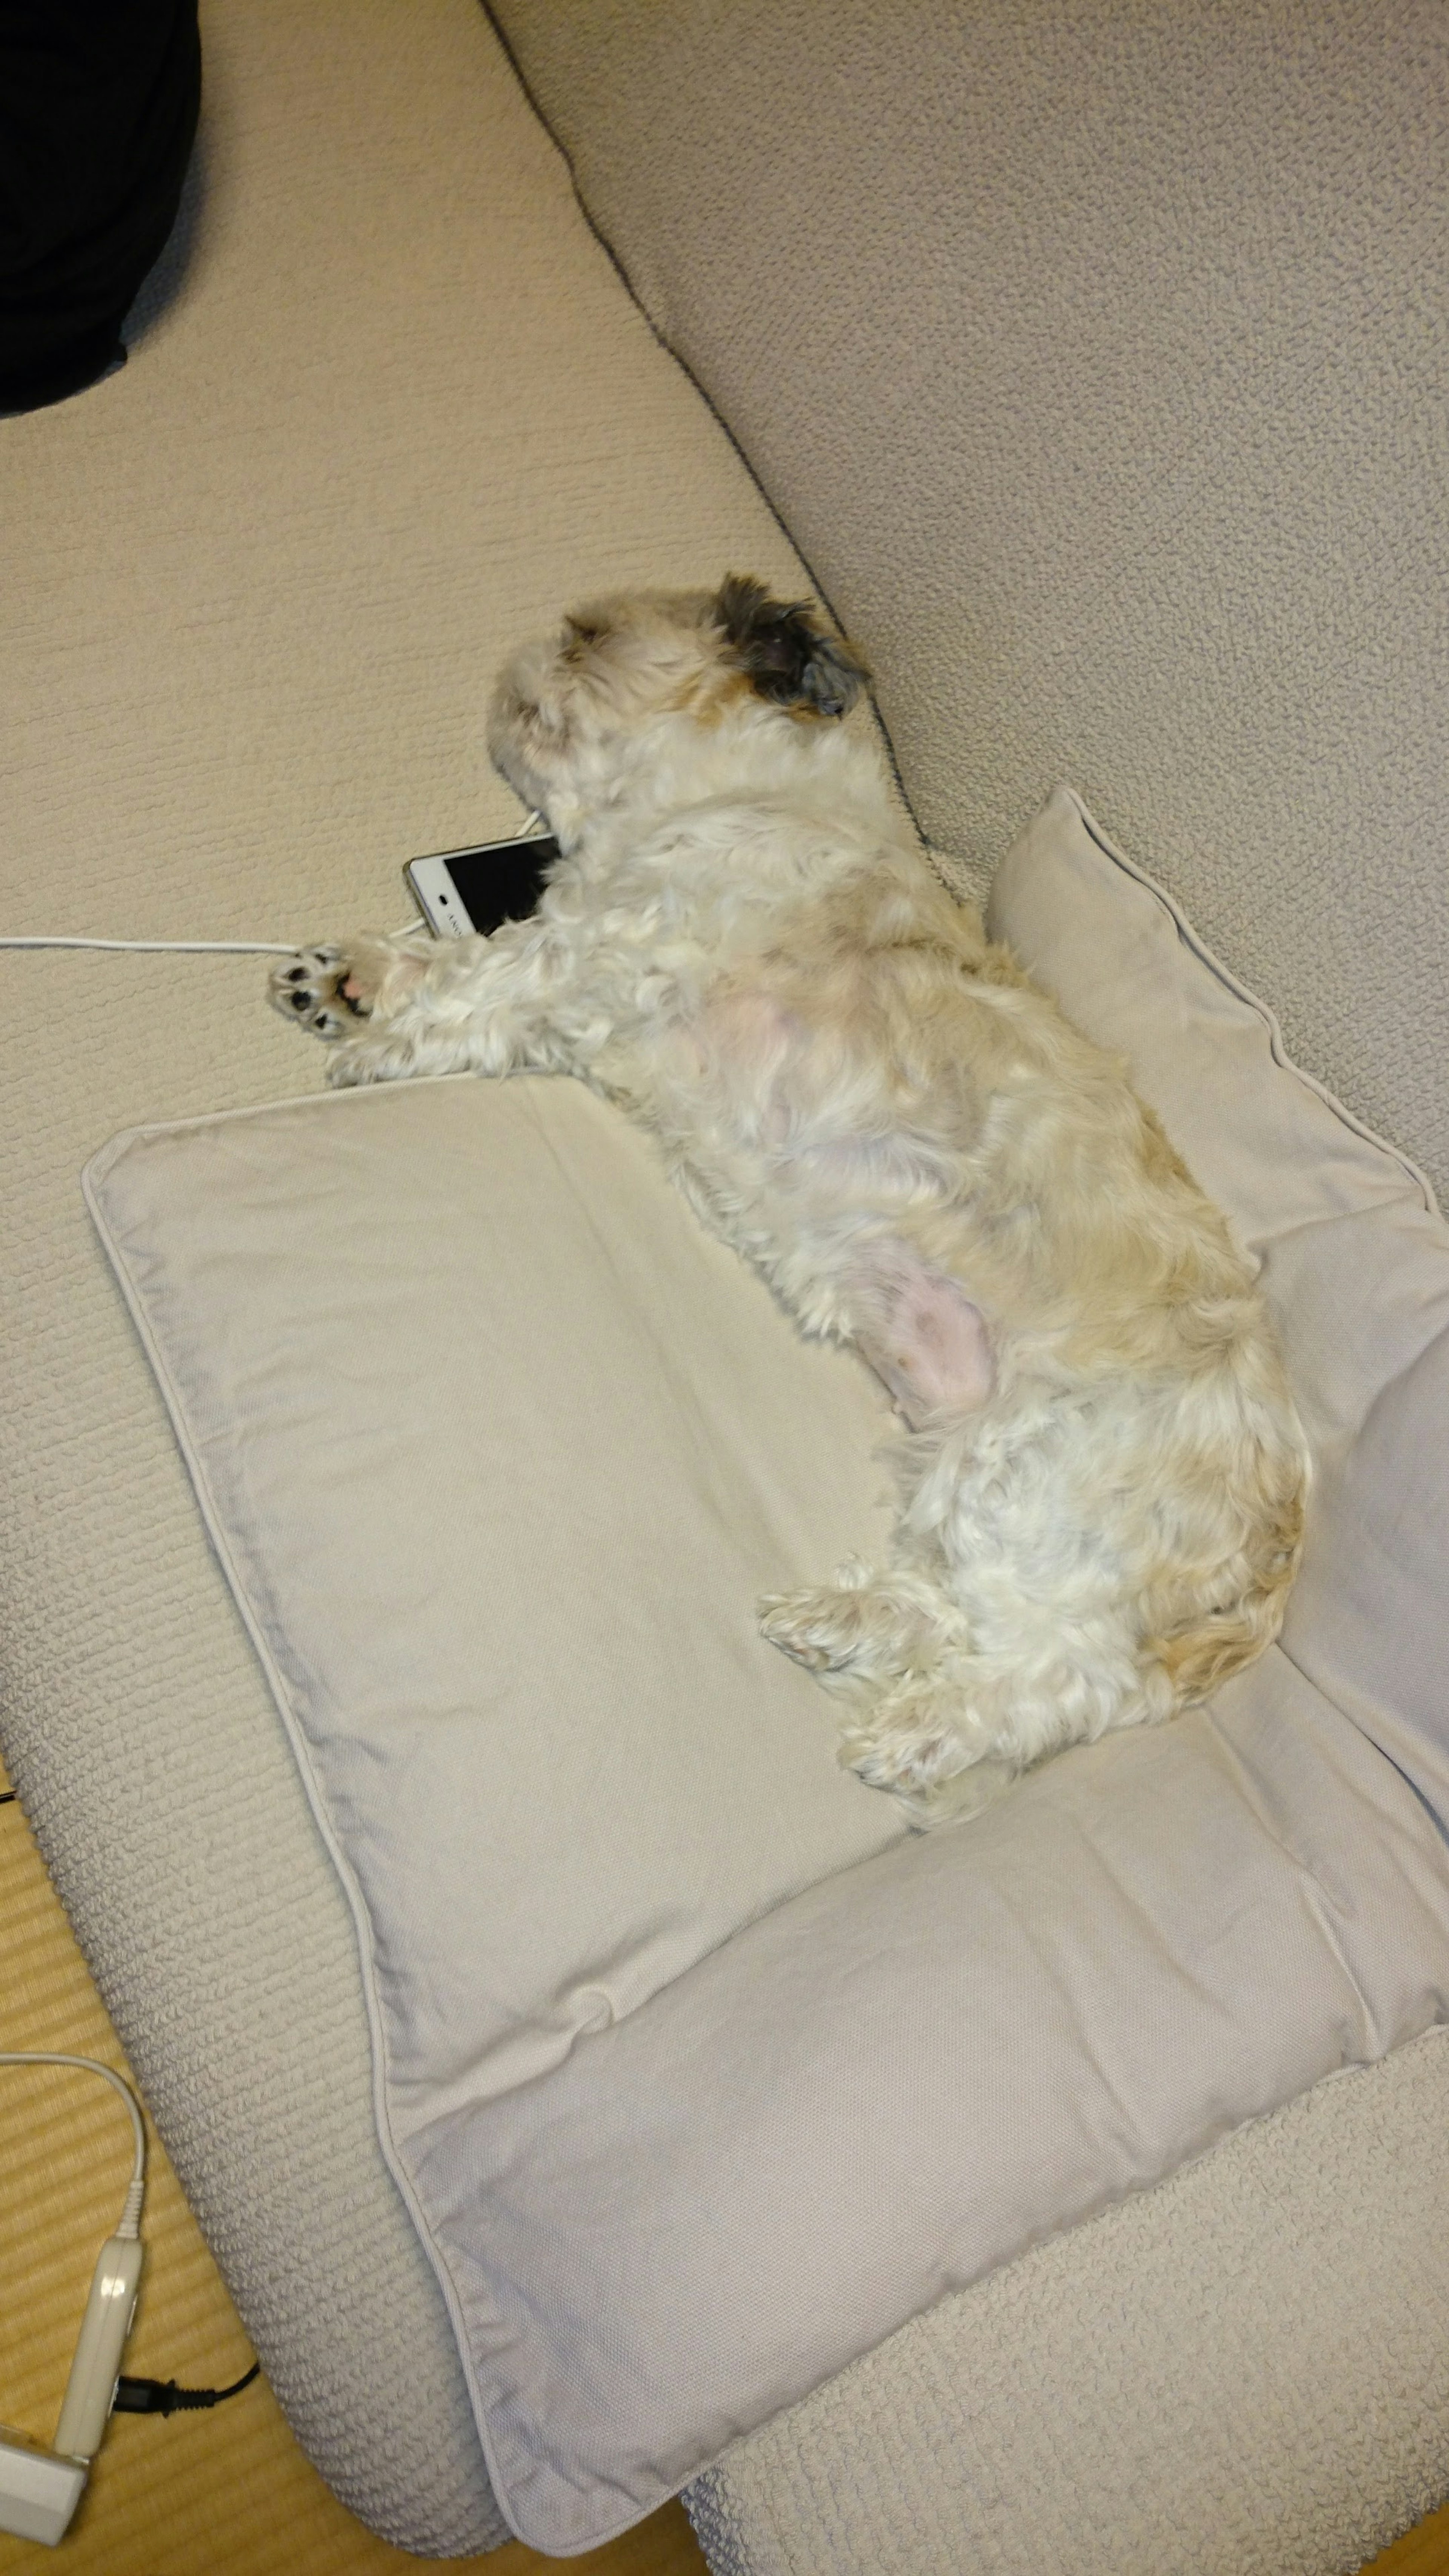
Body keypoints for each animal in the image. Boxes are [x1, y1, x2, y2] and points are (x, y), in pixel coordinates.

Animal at [273, 584, 1310, 1834]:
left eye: (587, 634)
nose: (524, 651)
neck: (731, 793)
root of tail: (1273, 1533)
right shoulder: (593, 989)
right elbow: (478, 987)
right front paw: (352, 983)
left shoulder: (612, 949)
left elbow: (491, 970)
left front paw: (374, 1024)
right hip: (961, 1471)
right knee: (959, 1610)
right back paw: (843, 1620)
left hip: (1046, 1477)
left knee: (1061, 1677)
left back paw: (913, 1732)